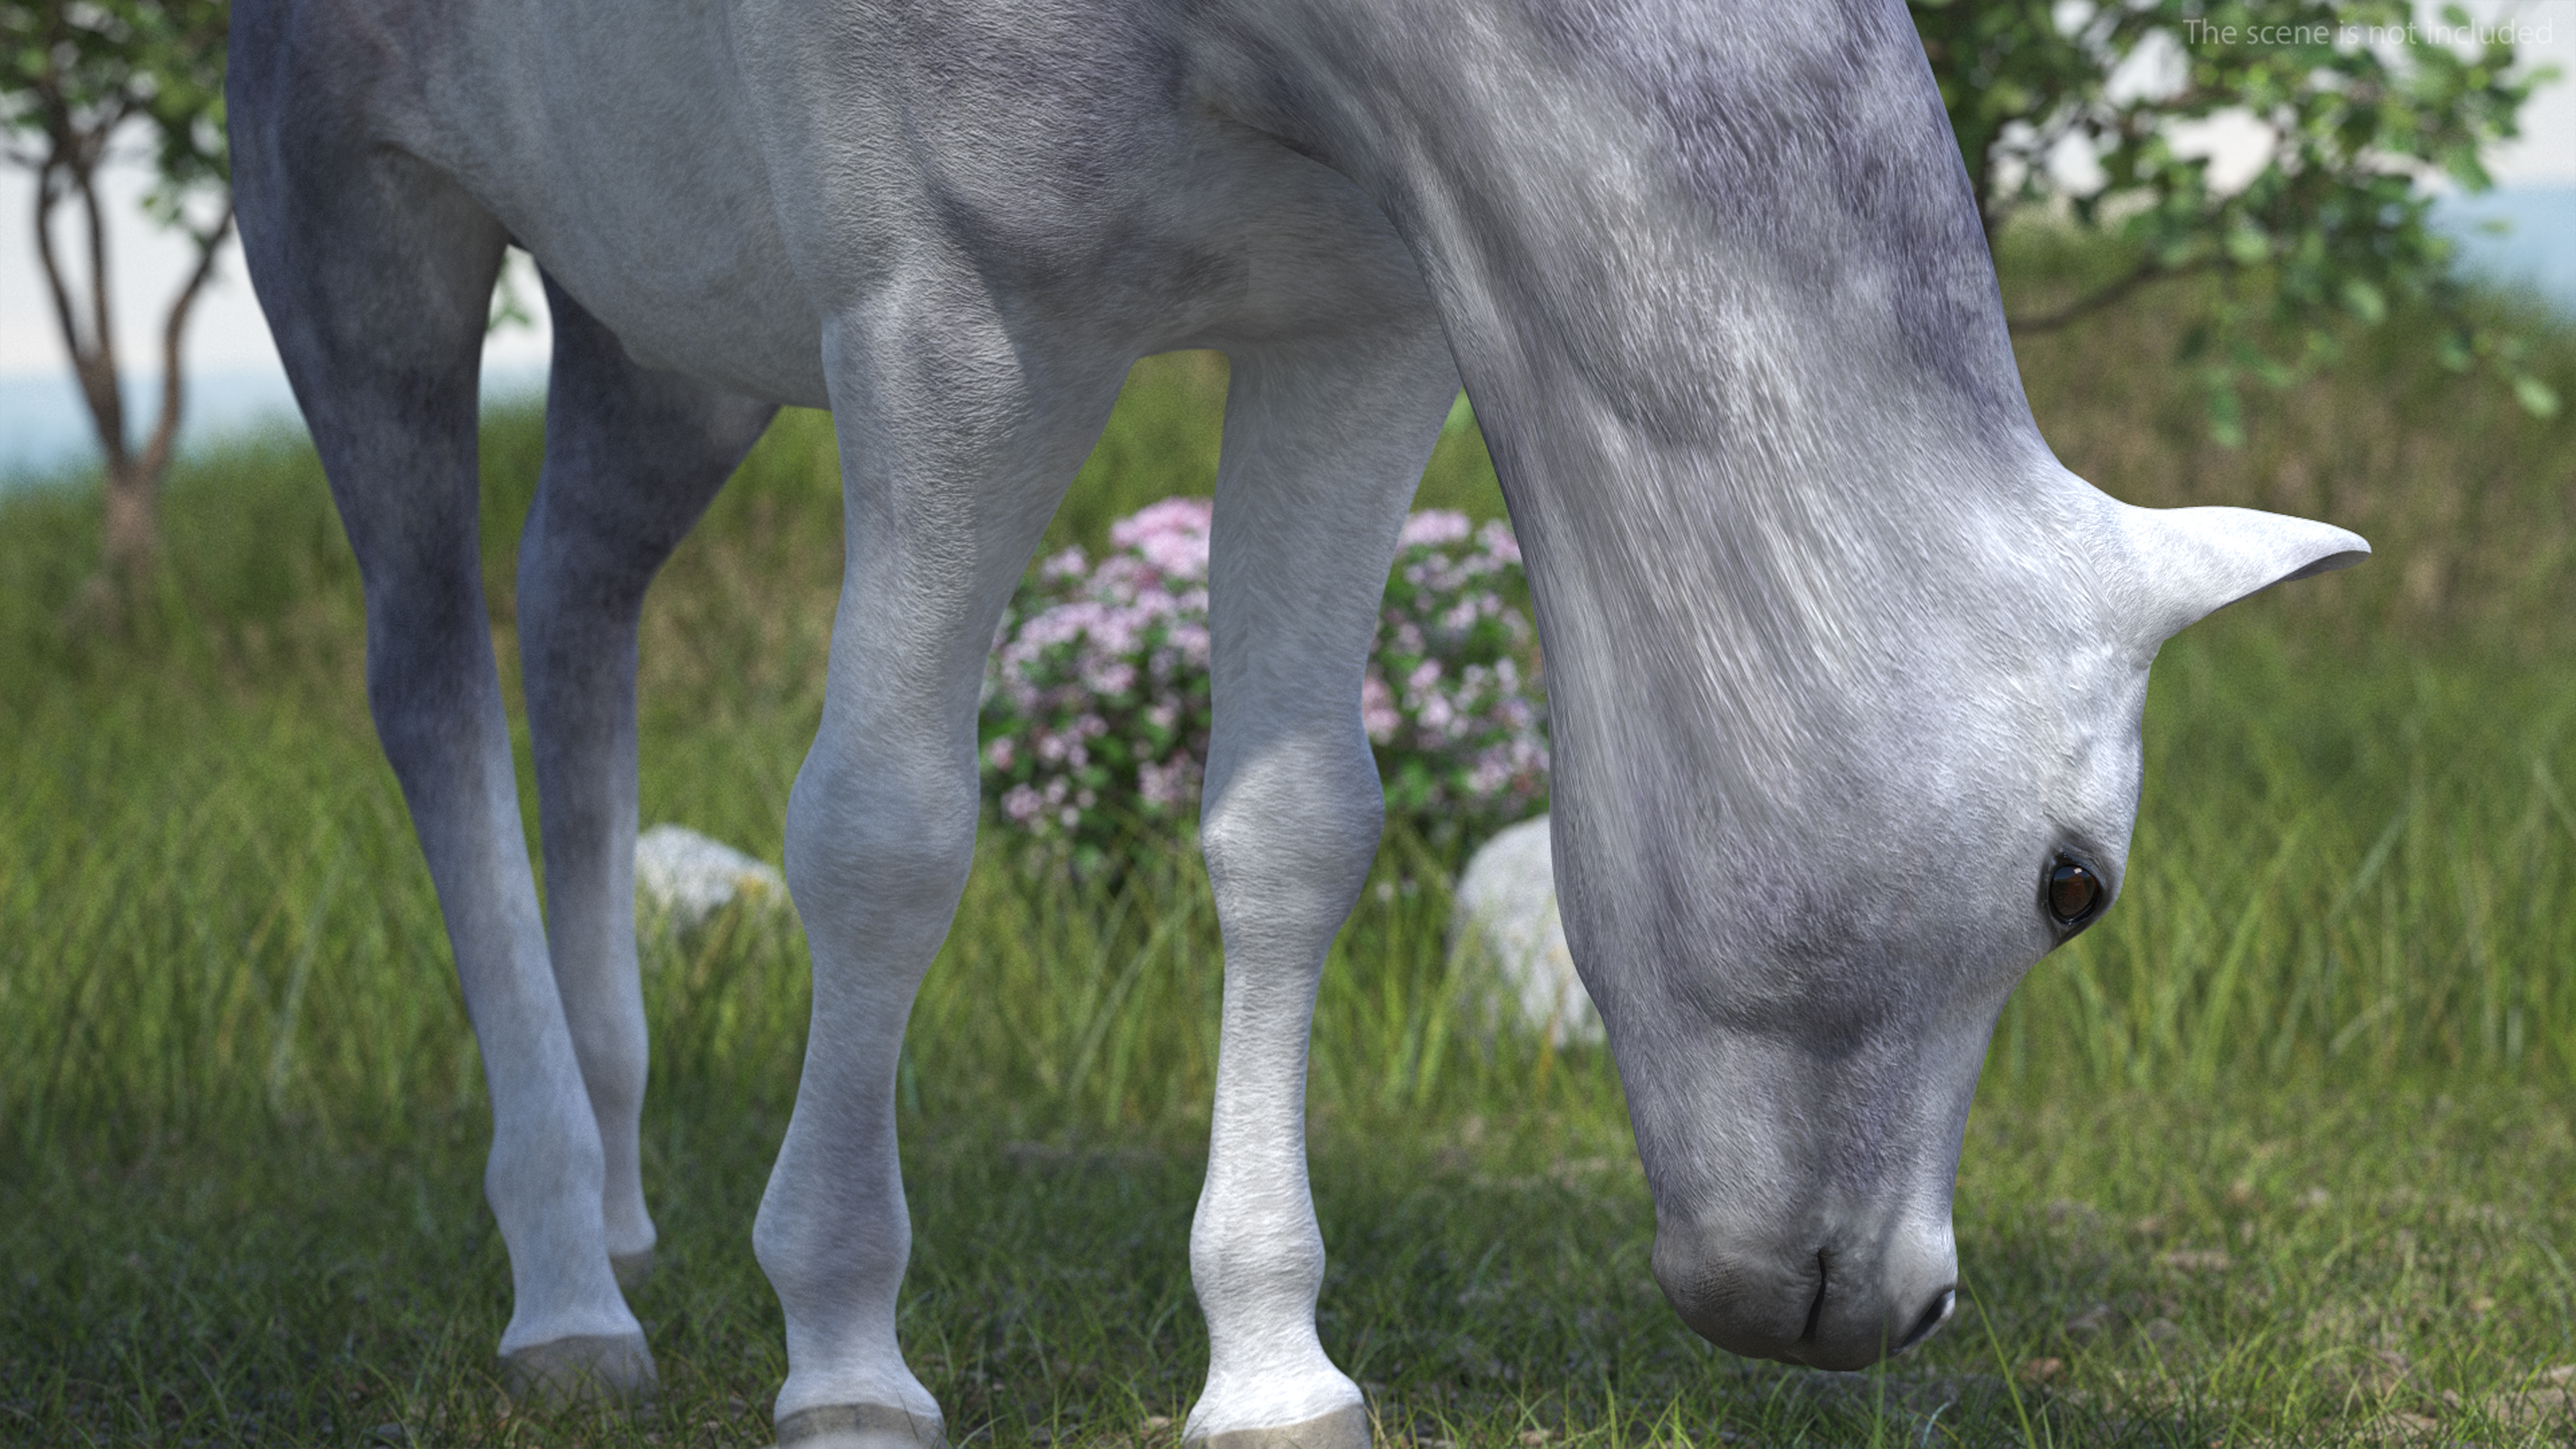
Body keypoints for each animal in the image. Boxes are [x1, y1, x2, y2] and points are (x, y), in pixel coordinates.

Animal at [231, 0, 2359, 1433]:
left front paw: (1270, 1369)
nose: (1881, 1311)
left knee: (578, 611)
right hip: (359, 227)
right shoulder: (954, 324)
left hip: (667, 318)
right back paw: (561, 1289)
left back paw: (614, 1197)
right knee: (431, 683)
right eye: (2073, 888)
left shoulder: (1356, 330)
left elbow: (1293, 831)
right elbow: (886, 833)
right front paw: (842, 1353)